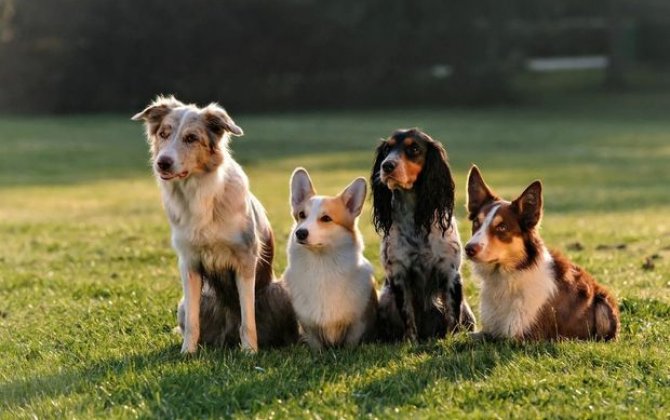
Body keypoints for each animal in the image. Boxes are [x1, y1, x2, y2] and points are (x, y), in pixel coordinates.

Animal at [133, 97, 298, 352]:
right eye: (163, 134)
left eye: (191, 138)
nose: (162, 163)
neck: (198, 193)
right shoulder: (189, 262)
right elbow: (193, 322)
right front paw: (187, 353)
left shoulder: (245, 260)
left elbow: (247, 318)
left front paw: (250, 352)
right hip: (189, 303)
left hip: (279, 291)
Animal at [282, 169, 378, 350]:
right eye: (301, 215)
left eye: (326, 218)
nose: (300, 233)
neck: (322, 265)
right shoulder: (309, 326)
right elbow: (316, 345)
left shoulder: (357, 323)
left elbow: (350, 342)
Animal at [372, 128, 478, 342]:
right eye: (387, 149)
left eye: (414, 149)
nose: (387, 165)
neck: (416, 221)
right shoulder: (398, 274)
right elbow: (407, 314)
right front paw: (410, 342)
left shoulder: (449, 273)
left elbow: (452, 315)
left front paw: (451, 339)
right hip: (385, 298)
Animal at [468, 165, 620, 342]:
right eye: (476, 223)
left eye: (502, 227)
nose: (468, 249)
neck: (508, 277)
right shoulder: (489, 331)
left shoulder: (521, 338)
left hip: (603, 304)